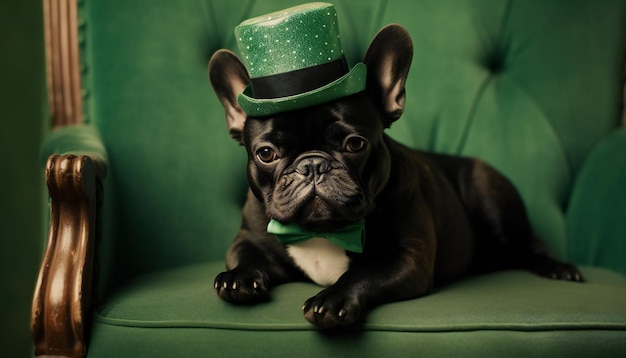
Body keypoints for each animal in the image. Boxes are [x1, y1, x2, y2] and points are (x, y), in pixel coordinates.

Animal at [206, 21, 580, 328]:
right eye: (266, 153)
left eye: (355, 144)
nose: (312, 164)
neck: (324, 232)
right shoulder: (248, 237)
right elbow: (245, 255)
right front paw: (238, 278)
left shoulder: (407, 259)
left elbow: (364, 273)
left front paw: (332, 299)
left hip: (490, 195)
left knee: (530, 243)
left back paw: (560, 268)